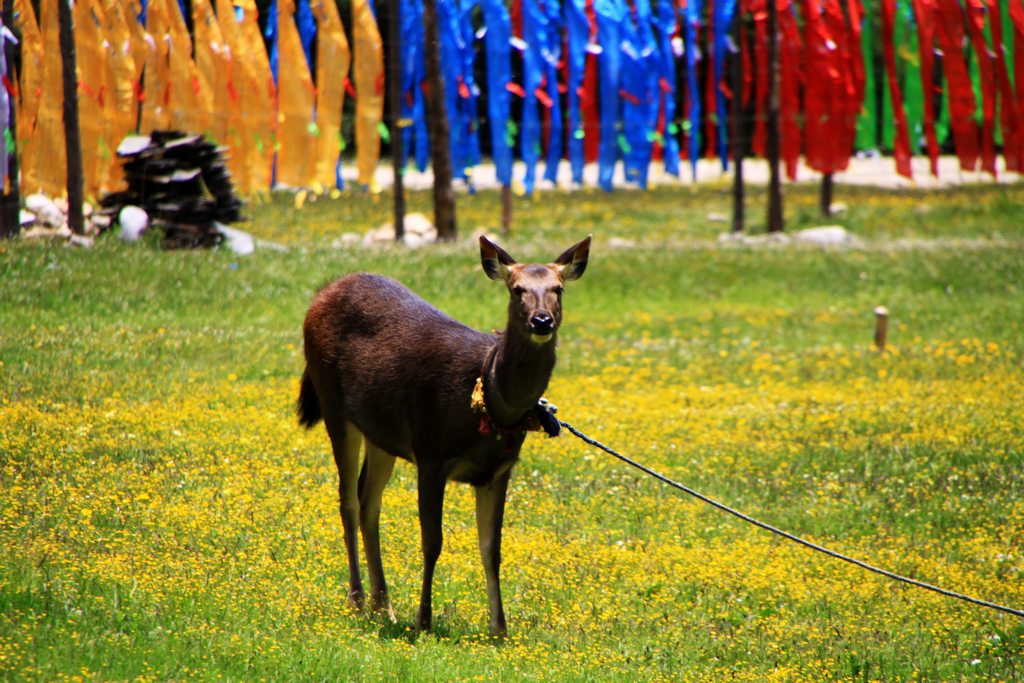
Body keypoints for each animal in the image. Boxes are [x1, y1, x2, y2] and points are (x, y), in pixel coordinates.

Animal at [296, 233, 589, 634]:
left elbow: (491, 548)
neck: (489, 396)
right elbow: (432, 541)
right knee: (348, 500)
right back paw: (358, 602)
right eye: (516, 289)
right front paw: (424, 620)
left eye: (558, 288)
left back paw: (383, 606)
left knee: (368, 499)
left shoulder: (499, 470)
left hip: (381, 432)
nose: (541, 320)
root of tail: (322, 292)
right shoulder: (431, 453)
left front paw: (499, 628)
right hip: (333, 404)